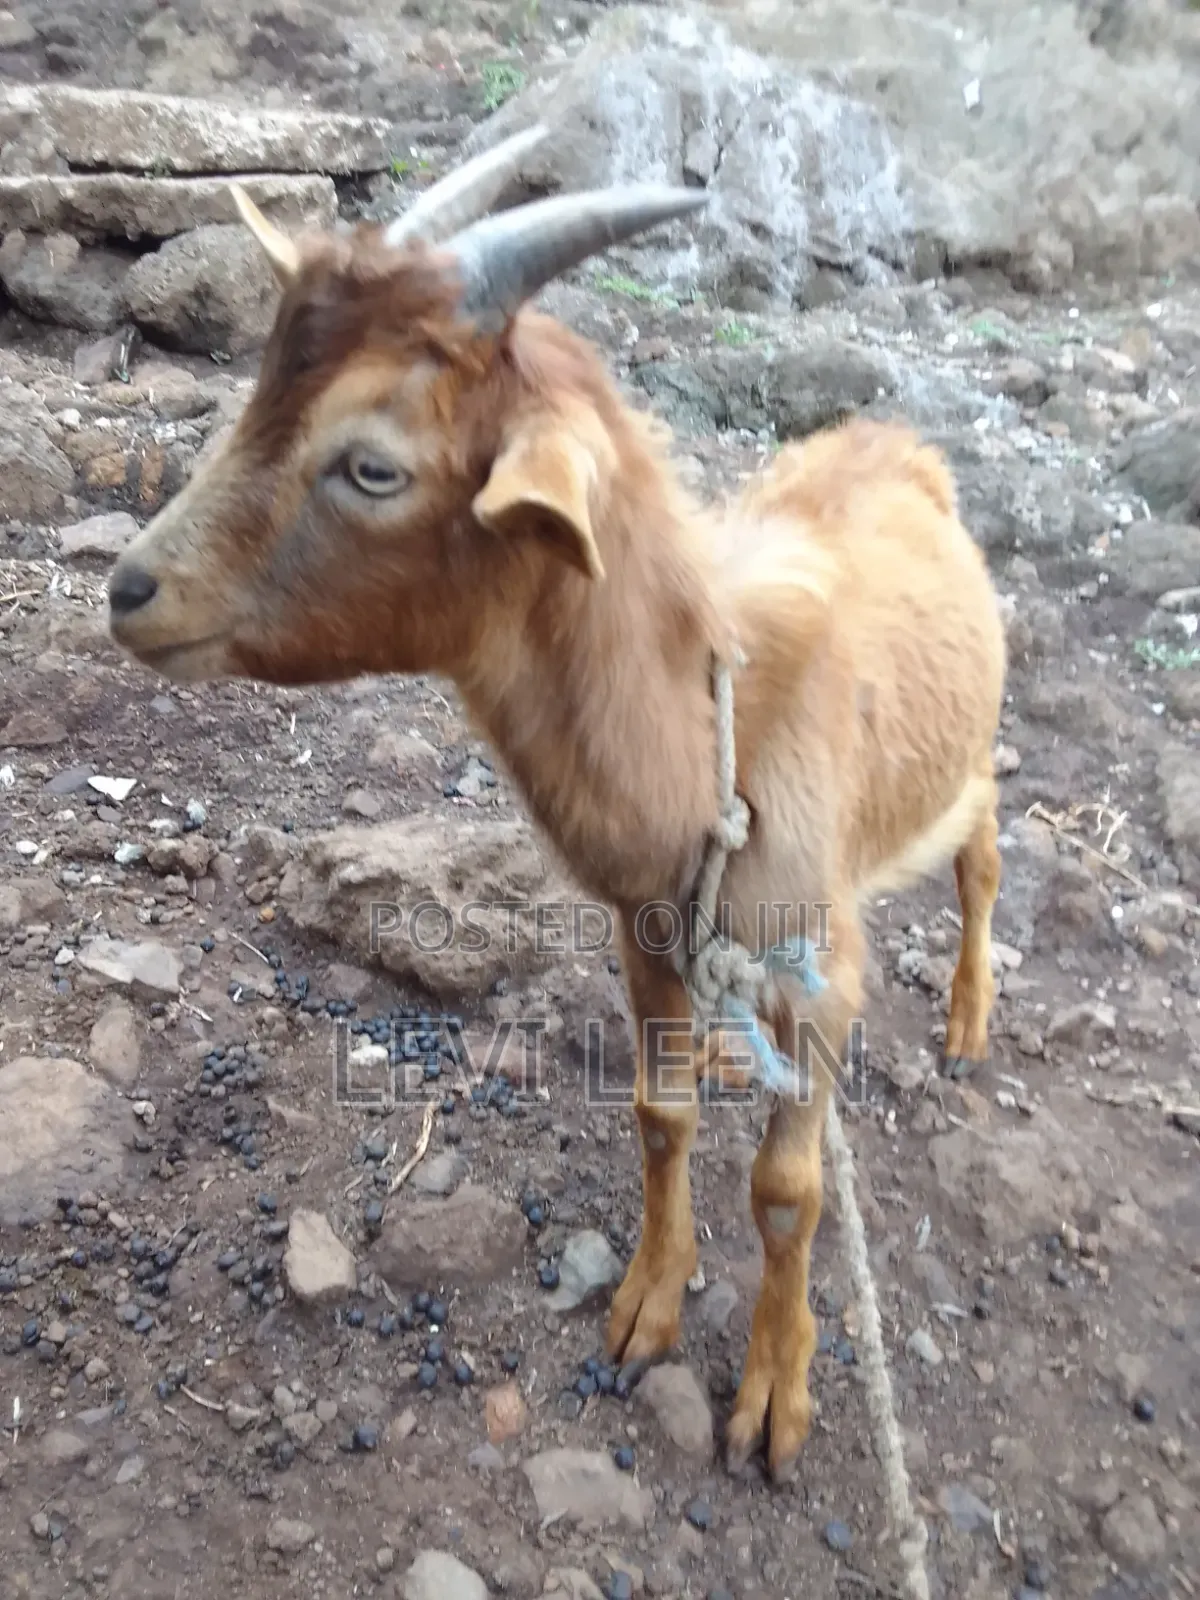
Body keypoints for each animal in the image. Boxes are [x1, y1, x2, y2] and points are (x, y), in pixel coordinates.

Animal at [106, 128, 1007, 1482]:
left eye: (372, 463)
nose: (130, 589)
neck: (710, 736)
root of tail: (899, 441)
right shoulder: (647, 928)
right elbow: (658, 1111)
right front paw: (644, 1301)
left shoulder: (817, 963)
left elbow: (789, 1191)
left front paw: (775, 1396)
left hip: (973, 756)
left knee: (985, 850)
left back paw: (964, 1020)